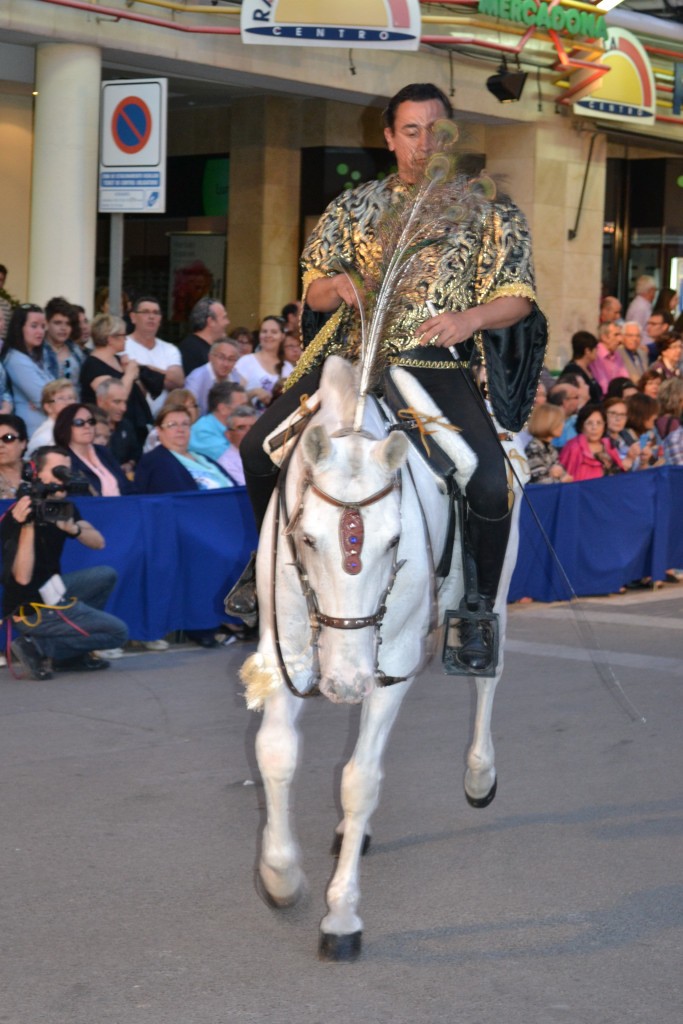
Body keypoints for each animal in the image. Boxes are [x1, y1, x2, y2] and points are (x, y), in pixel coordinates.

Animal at [240, 355, 525, 961]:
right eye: (306, 539)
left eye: (395, 541)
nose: (345, 684)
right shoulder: (286, 654)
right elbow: (276, 754)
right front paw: (281, 877)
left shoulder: (391, 662)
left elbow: (360, 781)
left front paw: (342, 918)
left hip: (499, 583)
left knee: (488, 675)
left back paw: (479, 776)